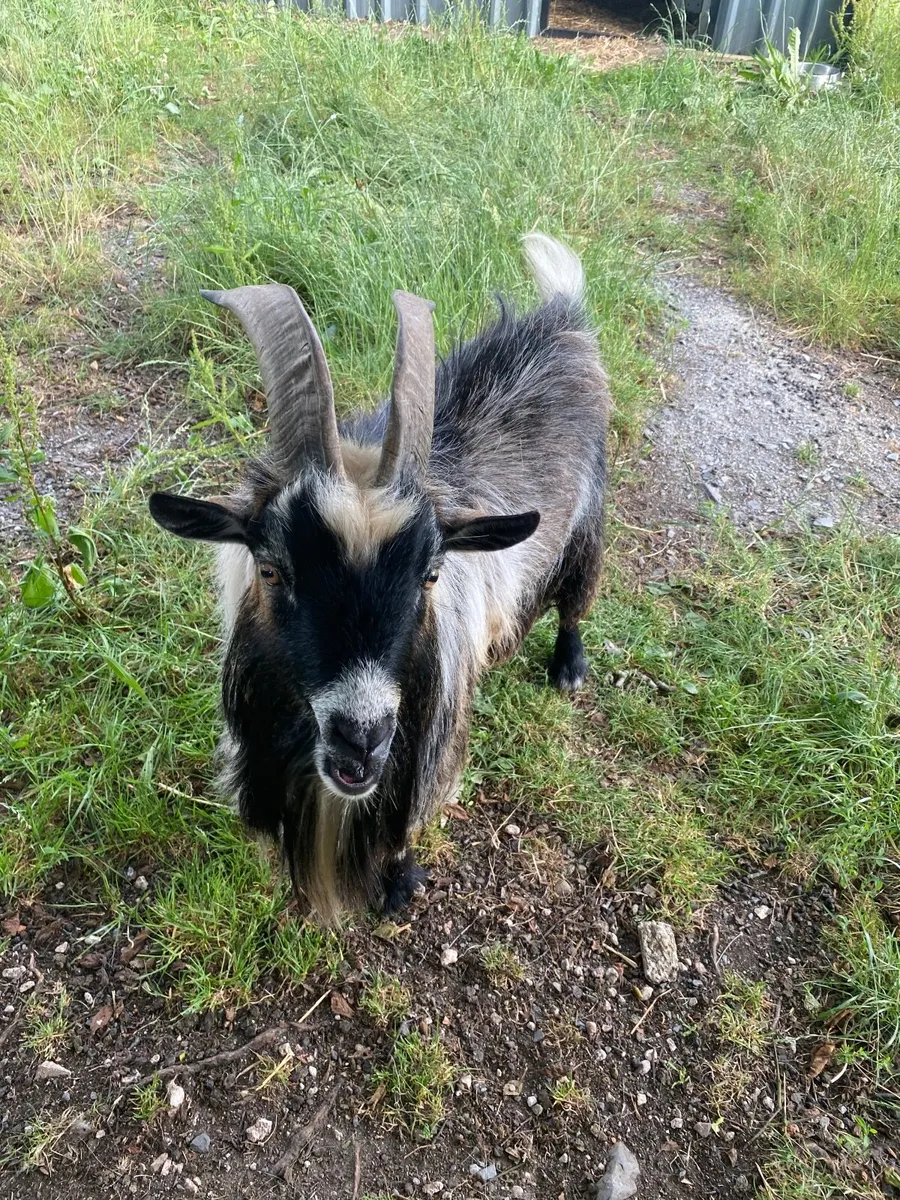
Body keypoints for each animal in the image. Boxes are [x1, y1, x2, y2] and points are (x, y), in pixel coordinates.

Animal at [149, 233, 609, 925]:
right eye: (272, 568)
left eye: (431, 575)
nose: (362, 741)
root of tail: (563, 314)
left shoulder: (423, 750)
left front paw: (399, 885)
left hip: (590, 521)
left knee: (577, 598)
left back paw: (569, 668)